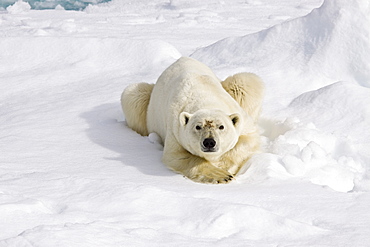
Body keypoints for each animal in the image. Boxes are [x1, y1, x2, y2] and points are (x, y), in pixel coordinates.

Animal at [121, 56, 264, 183]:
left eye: (221, 126)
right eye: (198, 127)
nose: (209, 142)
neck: (206, 100)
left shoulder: (240, 117)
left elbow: (248, 139)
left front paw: (223, 167)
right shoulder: (175, 128)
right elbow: (178, 156)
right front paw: (220, 175)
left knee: (247, 82)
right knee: (133, 96)